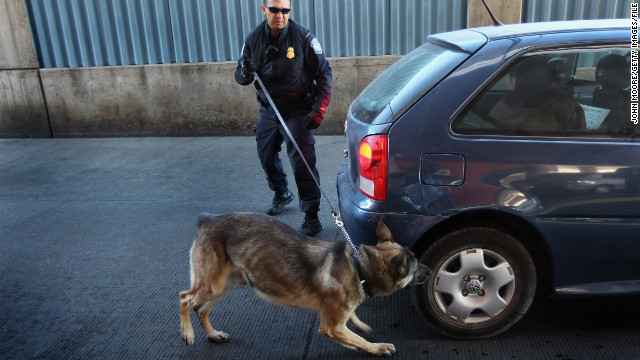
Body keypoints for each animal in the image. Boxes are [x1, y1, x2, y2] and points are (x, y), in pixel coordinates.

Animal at [179, 212, 430, 356]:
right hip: (212, 285)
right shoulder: (331, 327)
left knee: (201, 310)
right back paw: (187, 333)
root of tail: (208, 221)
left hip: (226, 285)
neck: (359, 268)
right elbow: (359, 339)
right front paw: (377, 348)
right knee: (185, 298)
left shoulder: (338, 321)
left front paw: (360, 328)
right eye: (415, 268)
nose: (430, 271)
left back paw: (213, 335)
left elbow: (355, 332)